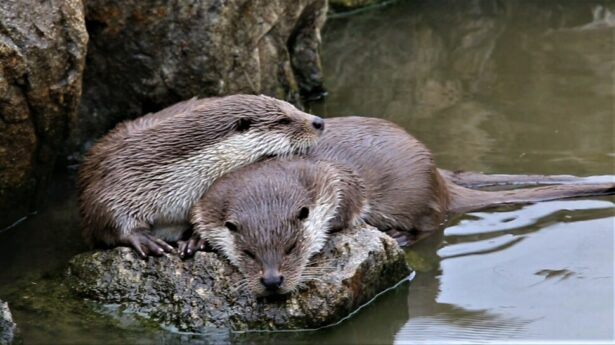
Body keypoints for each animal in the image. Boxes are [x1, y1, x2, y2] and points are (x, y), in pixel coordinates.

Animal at [79, 92, 324, 256]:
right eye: (284, 120)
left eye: (294, 107)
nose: (319, 121)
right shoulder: (118, 174)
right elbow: (103, 213)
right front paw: (144, 238)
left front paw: (195, 239)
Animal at [188, 115, 615, 296]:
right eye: (248, 253)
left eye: (292, 248)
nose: (273, 281)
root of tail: (439, 179)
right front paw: (194, 242)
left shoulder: (342, 184)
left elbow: (349, 211)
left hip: (416, 196)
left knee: (431, 225)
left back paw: (398, 235)